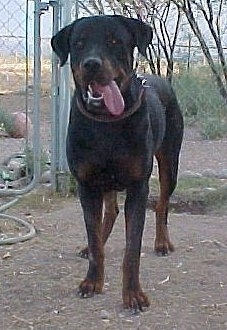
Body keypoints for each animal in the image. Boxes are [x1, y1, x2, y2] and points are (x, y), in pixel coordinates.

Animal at [51, 14, 183, 310]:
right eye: (78, 43)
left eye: (114, 41)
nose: (91, 64)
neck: (106, 123)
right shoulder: (87, 184)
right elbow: (94, 238)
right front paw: (92, 281)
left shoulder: (137, 186)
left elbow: (132, 247)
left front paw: (133, 294)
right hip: (105, 181)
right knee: (109, 212)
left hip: (170, 162)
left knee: (162, 204)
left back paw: (162, 242)